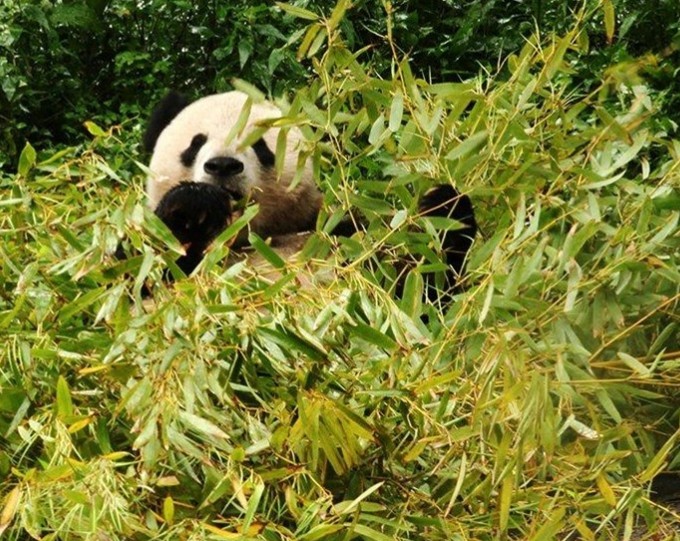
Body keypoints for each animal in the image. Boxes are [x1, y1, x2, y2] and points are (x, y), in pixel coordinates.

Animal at [142, 88, 478, 300]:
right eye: (196, 143)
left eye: (260, 146)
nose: (223, 165)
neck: (249, 237)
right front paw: (193, 205)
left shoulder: (338, 234)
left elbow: (423, 292)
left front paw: (444, 207)